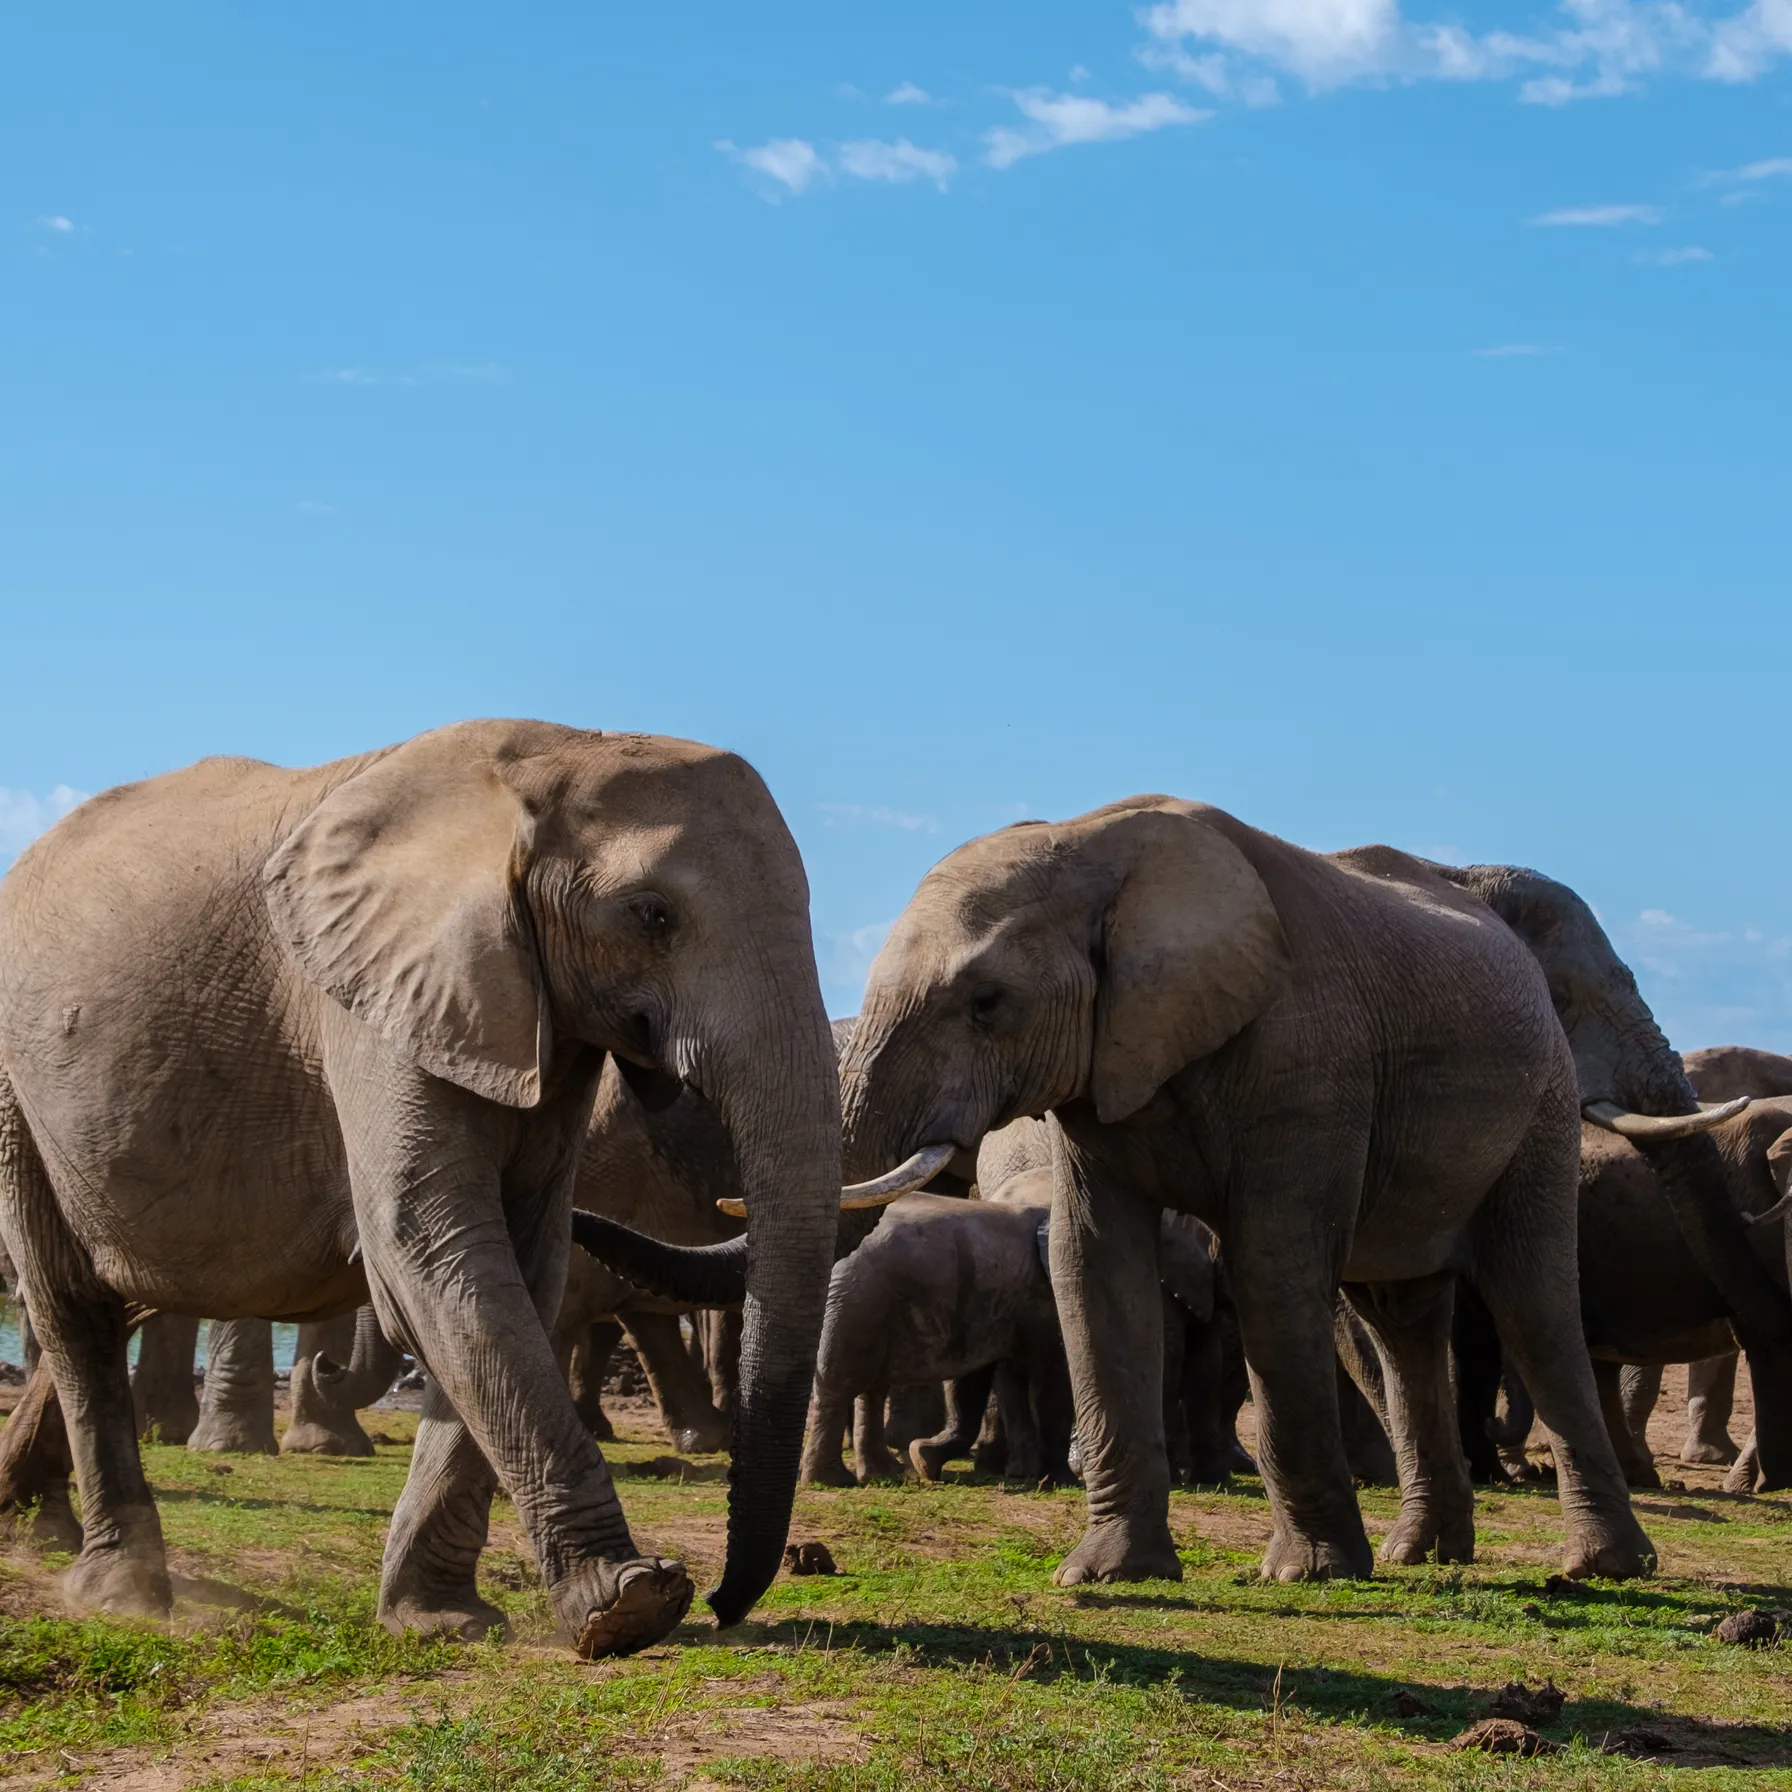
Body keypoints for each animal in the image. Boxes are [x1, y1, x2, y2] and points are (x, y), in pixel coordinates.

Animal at [0, 720, 856, 1657]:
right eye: (652, 915)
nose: (724, 1606)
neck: (553, 754)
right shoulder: (375, 993)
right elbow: (434, 1249)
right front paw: (631, 1605)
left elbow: (518, 1263)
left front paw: (442, 1621)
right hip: (16, 1095)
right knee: (71, 1305)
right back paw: (122, 1592)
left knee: (116, 1294)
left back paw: (48, 1527)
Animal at [828, 798, 1659, 1588]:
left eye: (987, 1002)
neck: (1093, 843)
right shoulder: (1103, 1067)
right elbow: (1095, 1269)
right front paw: (1108, 1572)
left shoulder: (1307, 1060)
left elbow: (1272, 1270)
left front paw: (1310, 1572)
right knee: (1401, 1321)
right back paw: (1422, 1554)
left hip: (1542, 1105)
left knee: (1531, 1302)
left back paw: (1605, 1567)